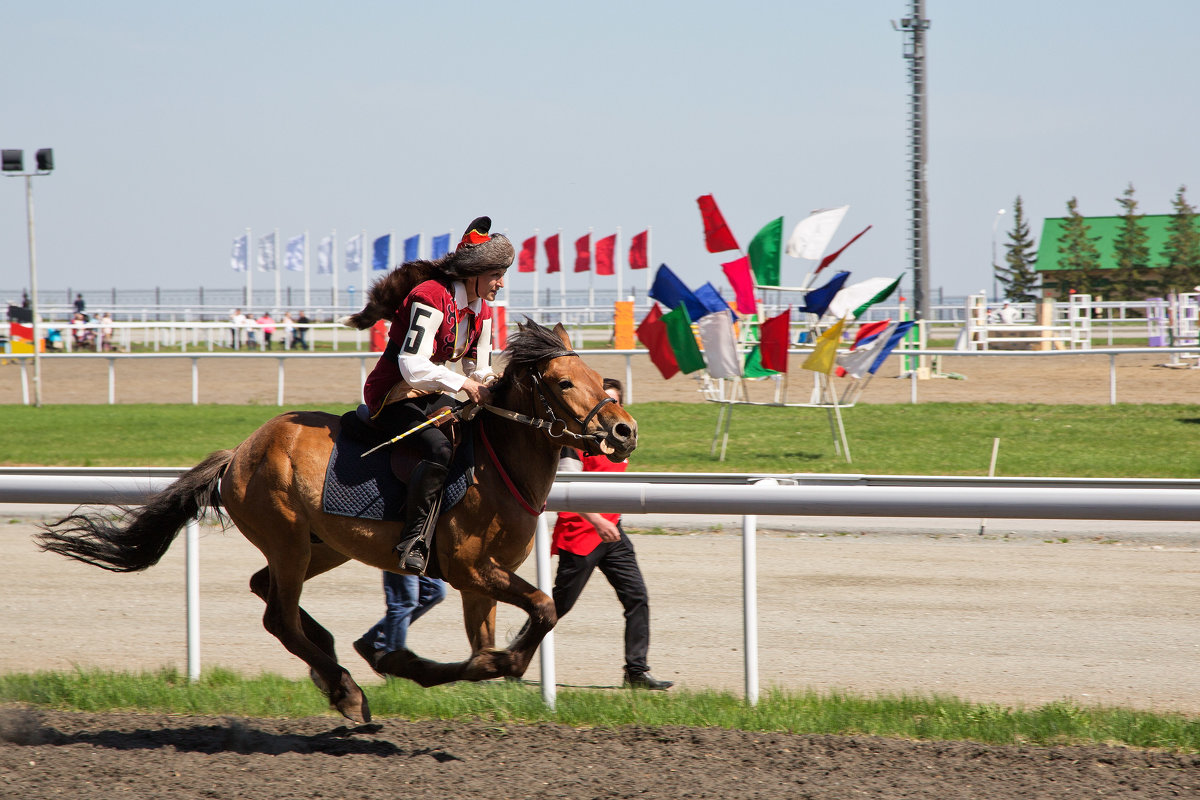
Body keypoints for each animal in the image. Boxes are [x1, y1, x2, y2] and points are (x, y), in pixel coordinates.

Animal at [37, 321, 638, 724]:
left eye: (594, 375)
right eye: (563, 383)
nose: (624, 430)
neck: (498, 464)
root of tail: (238, 453)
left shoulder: (478, 582)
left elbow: (483, 655)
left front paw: (404, 658)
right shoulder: (469, 567)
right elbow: (540, 611)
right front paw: (400, 658)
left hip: (323, 544)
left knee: (266, 589)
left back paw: (327, 658)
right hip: (287, 538)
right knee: (277, 617)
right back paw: (344, 688)